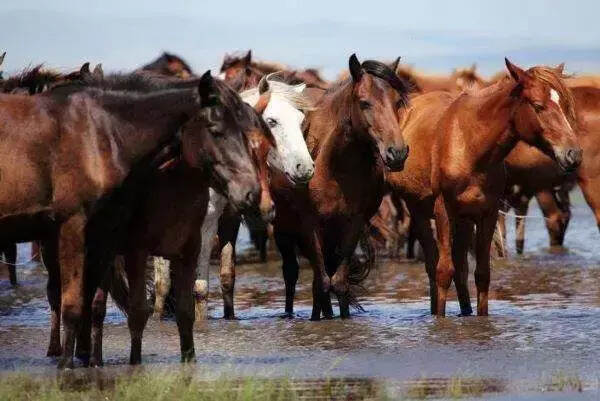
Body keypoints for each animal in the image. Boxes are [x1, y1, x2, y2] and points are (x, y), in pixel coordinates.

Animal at [152, 72, 316, 318]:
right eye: (272, 121)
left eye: (300, 120)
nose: (304, 168)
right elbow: (164, 284)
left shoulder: (221, 220)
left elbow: (220, 279)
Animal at [274, 55, 412, 318]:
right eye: (364, 103)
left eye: (397, 102)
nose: (397, 153)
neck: (335, 168)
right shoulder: (310, 224)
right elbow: (321, 283)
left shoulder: (353, 223)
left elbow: (339, 282)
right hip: (284, 229)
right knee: (291, 274)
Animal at [434, 59, 584, 316]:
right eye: (537, 106)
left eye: (565, 105)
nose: (573, 154)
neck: (469, 145)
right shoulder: (443, 211)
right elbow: (444, 272)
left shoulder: (488, 212)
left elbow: (482, 274)